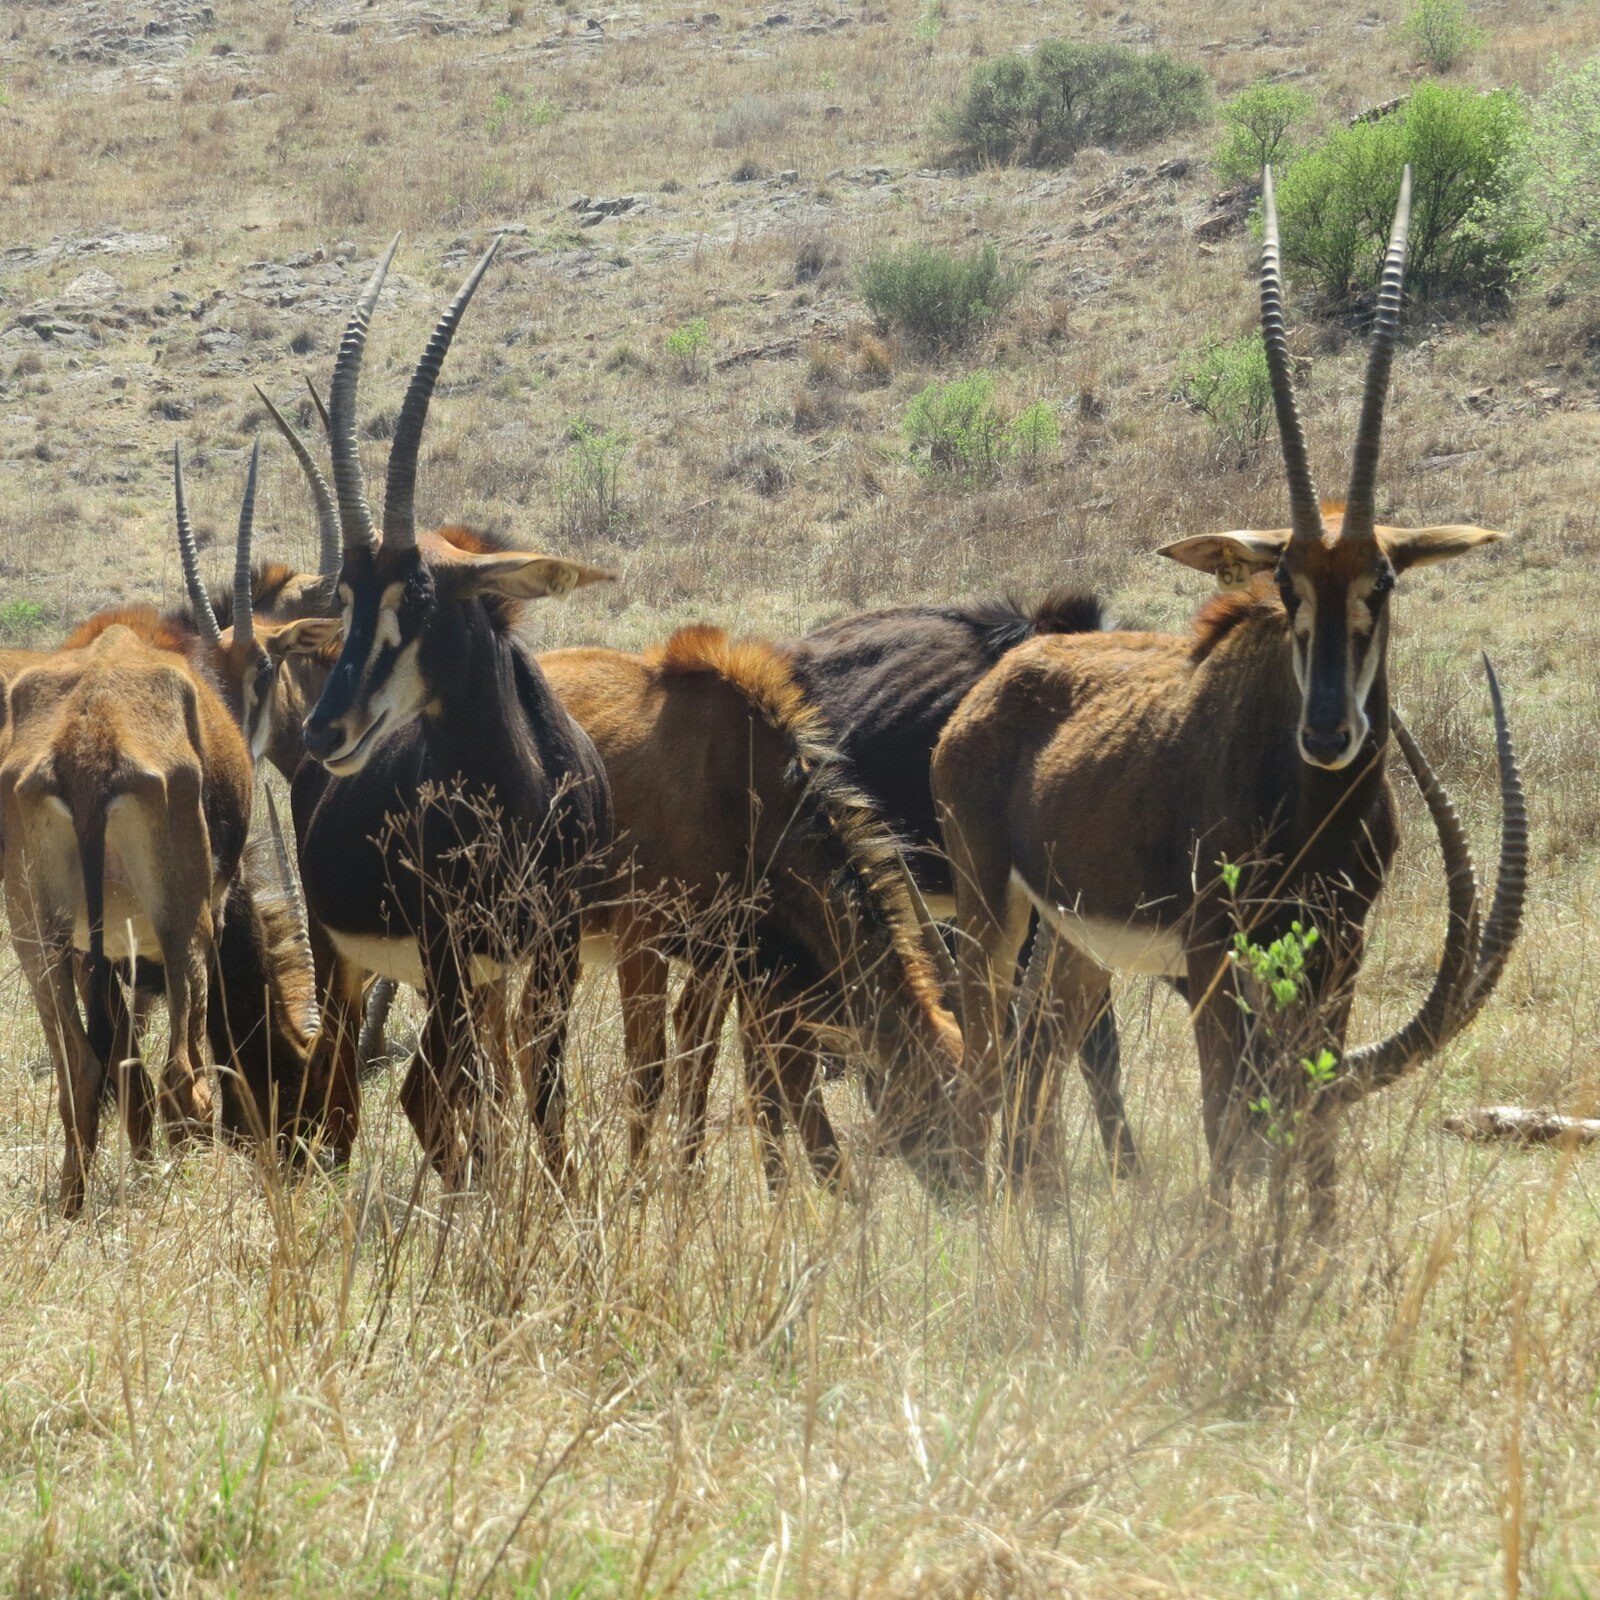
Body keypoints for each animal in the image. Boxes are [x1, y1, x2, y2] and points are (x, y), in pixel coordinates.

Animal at [289, 236, 614, 1178]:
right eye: (347, 596)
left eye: (423, 594)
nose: (325, 729)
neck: (520, 789)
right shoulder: (447, 951)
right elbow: (441, 1100)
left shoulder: (553, 952)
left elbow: (544, 1102)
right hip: (352, 958)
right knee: (359, 1088)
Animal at [538, 627, 965, 1188]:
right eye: (941, 1093)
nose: (970, 1187)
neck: (735, 781)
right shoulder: (642, 939)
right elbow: (649, 1073)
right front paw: (637, 1193)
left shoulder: (724, 958)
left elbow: (711, 1065)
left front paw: (690, 1186)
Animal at [930, 168, 1526, 1227]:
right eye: (1284, 582)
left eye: (1383, 579)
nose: (1329, 730)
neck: (1315, 805)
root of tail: (991, 690)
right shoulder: (1214, 952)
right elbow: (1226, 1118)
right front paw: (1221, 1253)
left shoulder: (1340, 947)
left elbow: (1306, 1112)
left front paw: (1312, 1249)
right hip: (990, 908)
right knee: (991, 1057)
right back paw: (985, 1220)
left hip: (1076, 942)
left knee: (1042, 1042)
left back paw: (1042, 1211)